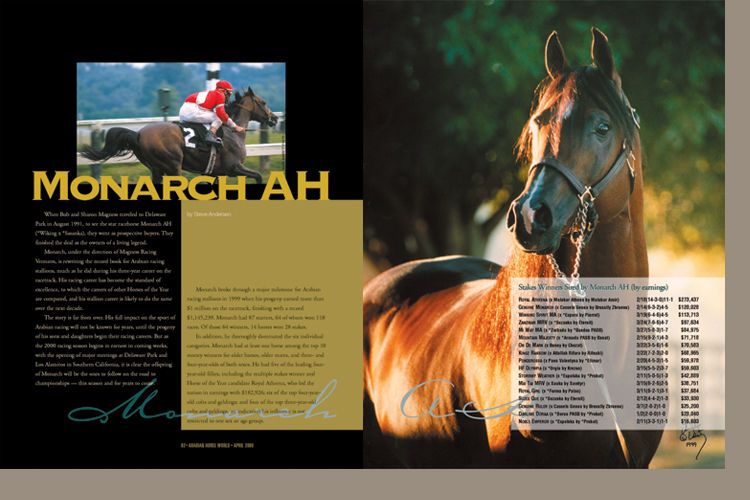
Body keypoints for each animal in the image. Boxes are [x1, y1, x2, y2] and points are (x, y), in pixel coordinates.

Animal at [80, 86, 278, 184]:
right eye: (263, 102)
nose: (275, 118)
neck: (233, 134)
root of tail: (138, 133)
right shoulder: (233, 167)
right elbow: (258, 176)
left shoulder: (217, 173)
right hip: (173, 166)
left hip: (157, 169)